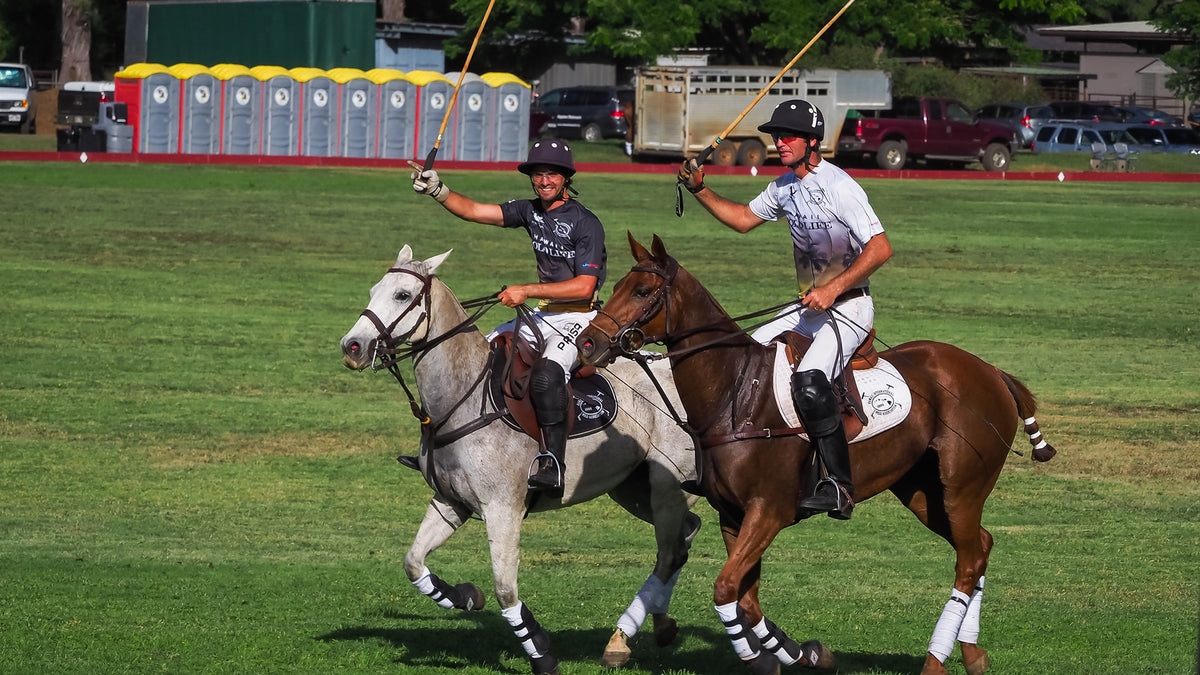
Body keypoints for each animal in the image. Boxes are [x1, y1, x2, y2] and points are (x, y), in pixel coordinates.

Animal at [340, 247, 700, 672]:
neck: (461, 399)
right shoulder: (450, 501)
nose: (352, 347)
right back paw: (660, 623)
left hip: (666, 488)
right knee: (683, 538)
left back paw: (622, 640)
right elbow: (413, 562)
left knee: (670, 551)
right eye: (373, 289)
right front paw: (465, 596)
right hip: (633, 488)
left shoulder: (503, 509)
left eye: (402, 294)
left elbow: (505, 590)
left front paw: (542, 653)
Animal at [576, 233, 1056, 672]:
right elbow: (746, 598)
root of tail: (992, 370)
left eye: (641, 291)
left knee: (970, 558)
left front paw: (761, 657)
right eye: (617, 284)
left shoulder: (769, 510)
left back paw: (935, 661)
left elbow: (725, 589)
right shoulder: (733, 515)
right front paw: (802, 652)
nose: (587, 345)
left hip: (962, 487)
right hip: (921, 491)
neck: (735, 394)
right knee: (980, 546)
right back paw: (972, 654)